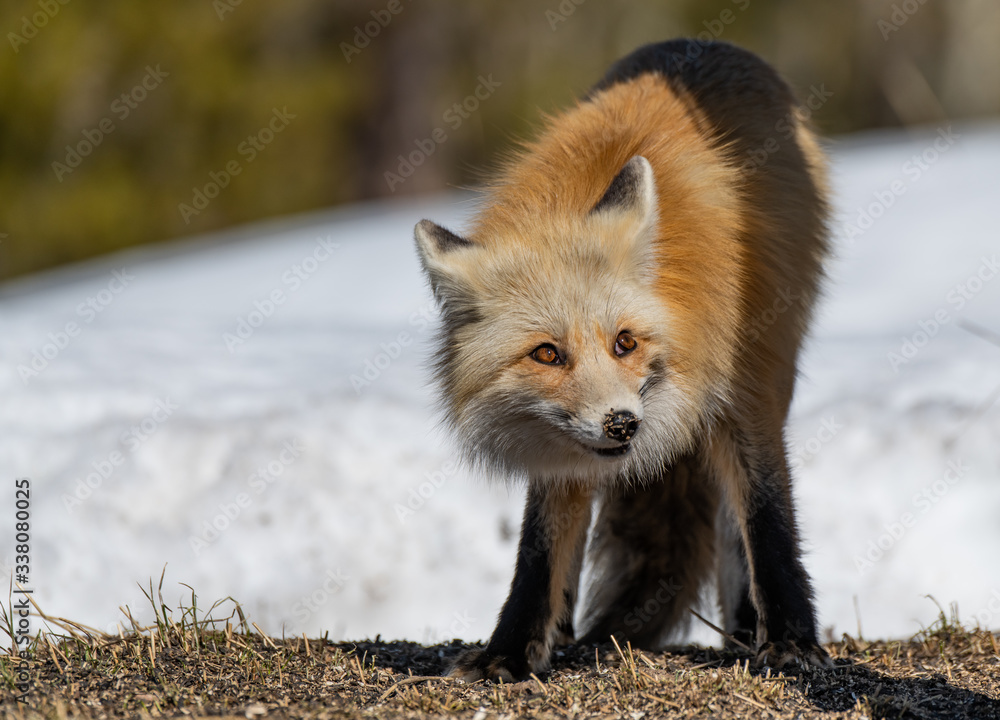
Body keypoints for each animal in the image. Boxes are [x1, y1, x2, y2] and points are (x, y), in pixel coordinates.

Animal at [413, 39, 832, 682]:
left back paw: (743, 629)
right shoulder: (560, 447)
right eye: (547, 353)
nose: (621, 424)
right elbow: (539, 547)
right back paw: (562, 632)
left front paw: (791, 640)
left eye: (625, 342)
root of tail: (698, 43)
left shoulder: (747, 393)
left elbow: (767, 522)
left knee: (732, 529)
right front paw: (511, 650)